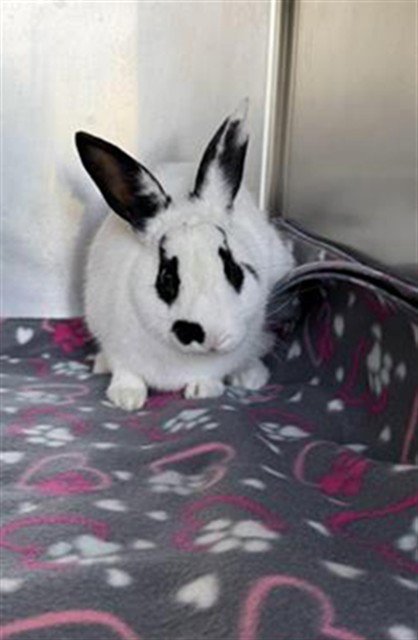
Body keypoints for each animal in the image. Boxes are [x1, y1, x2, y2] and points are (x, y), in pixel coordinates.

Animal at [75, 100, 294, 411]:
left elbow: (211, 377)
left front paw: (204, 390)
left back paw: (250, 377)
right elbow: (126, 371)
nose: (214, 336)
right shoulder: (115, 341)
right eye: (167, 278)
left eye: (234, 270)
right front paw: (127, 398)